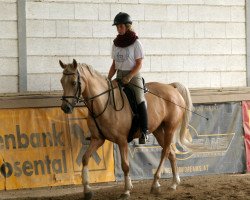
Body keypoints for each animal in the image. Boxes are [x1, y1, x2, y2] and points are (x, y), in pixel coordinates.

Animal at [59, 59, 194, 200]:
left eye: (74, 82)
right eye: (61, 81)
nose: (65, 108)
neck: (104, 103)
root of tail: (171, 87)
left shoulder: (122, 141)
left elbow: (125, 166)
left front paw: (126, 190)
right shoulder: (97, 139)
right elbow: (85, 158)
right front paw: (87, 190)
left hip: (170, 128)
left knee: (165, 152)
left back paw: (155, 183)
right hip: (157, 130)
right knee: (171, 153)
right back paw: (174, 183)